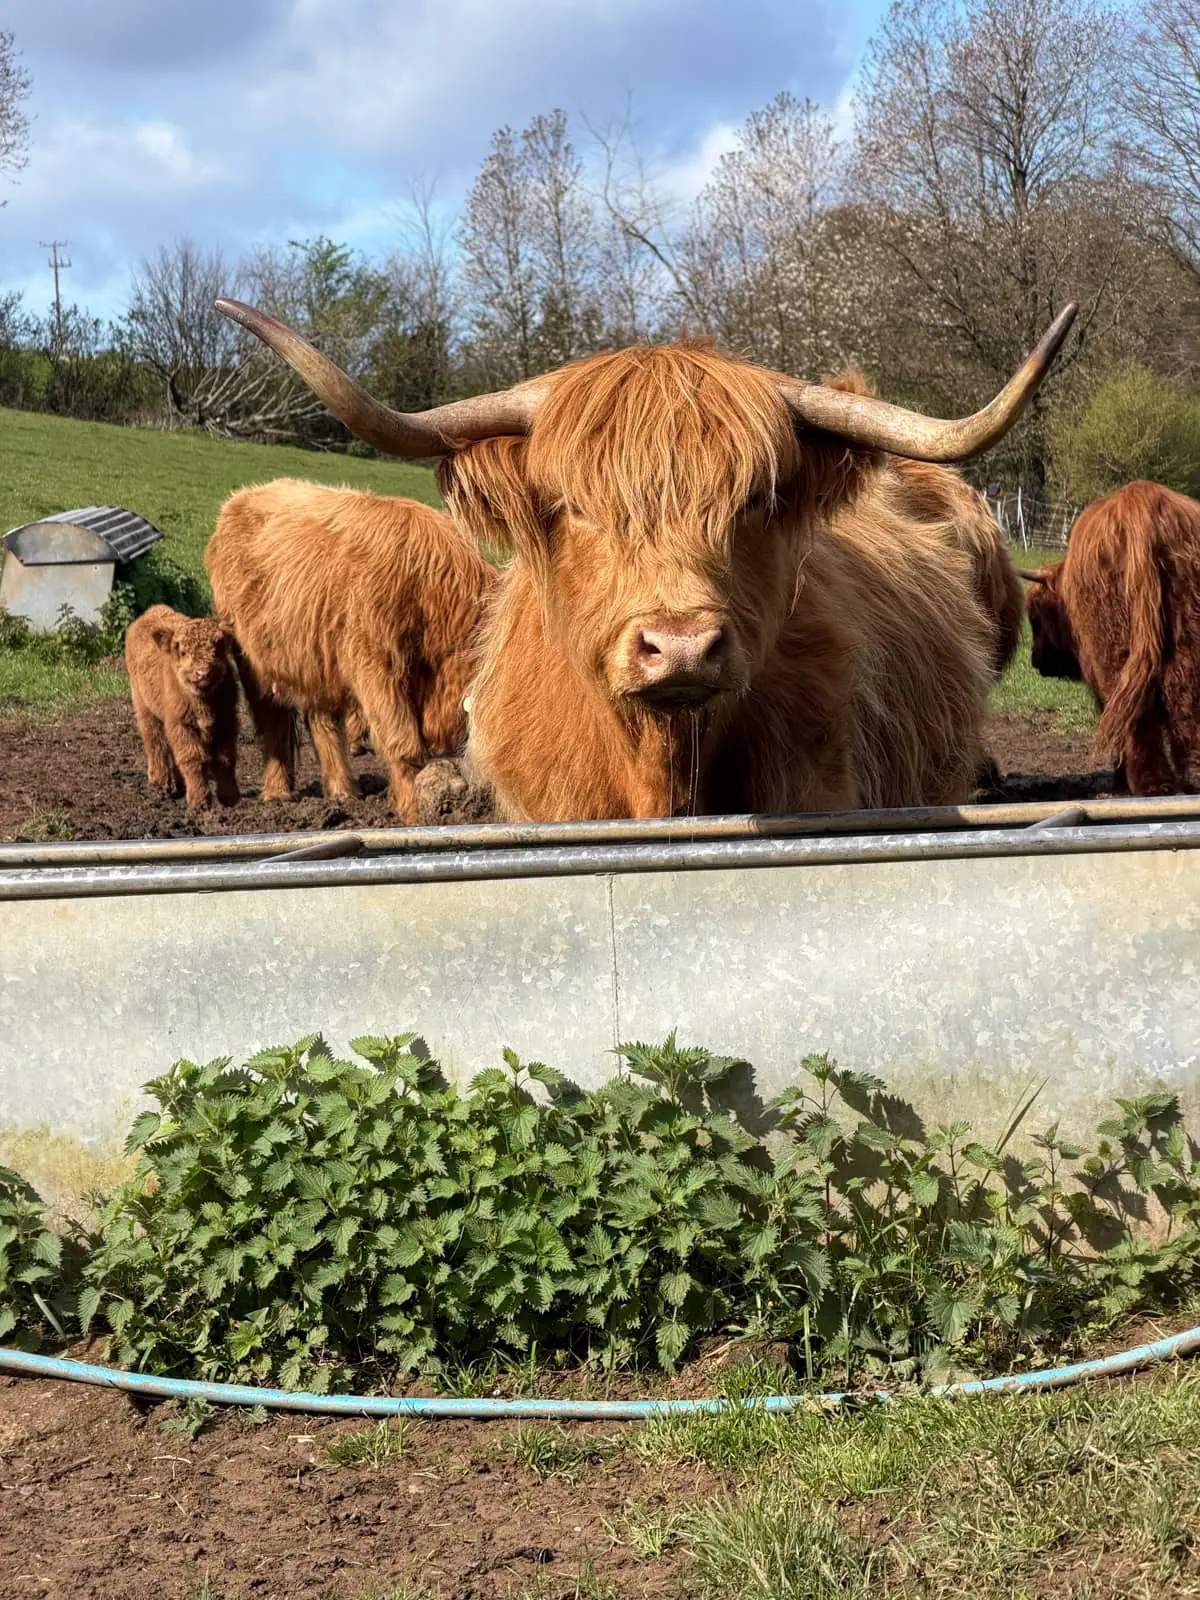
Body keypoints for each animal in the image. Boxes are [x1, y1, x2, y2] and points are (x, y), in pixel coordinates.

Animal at [124, 604, 239, 809]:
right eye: (184, 651)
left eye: (217, 647)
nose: (203, 673)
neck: (203, 703)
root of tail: (149, 612)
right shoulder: (181, 724)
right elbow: (192, 758)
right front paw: (199, 801)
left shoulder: (227, 719)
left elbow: (225, 758)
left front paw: (229, 797)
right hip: (144, 707)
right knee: (155, 742)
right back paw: (159, 781)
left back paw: (176, 784)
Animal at [205, 479, 496, 821]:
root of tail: (241, 498)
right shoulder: (375, 665)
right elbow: (404, 744)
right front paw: (413, 811)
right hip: (253, 657)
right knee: (271, 720)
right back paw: (278, 793)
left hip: (314, 656)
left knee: (323, 725)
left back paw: (342, 792)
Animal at [1019, 480, 1200, 796]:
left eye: (1036, 620)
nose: (1035, 660)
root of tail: (1140, 505)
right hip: (1187, 638)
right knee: (1184, 702)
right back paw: (1190, 779)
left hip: (1115, 648)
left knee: (1134, 715)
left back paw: (1149, 785)